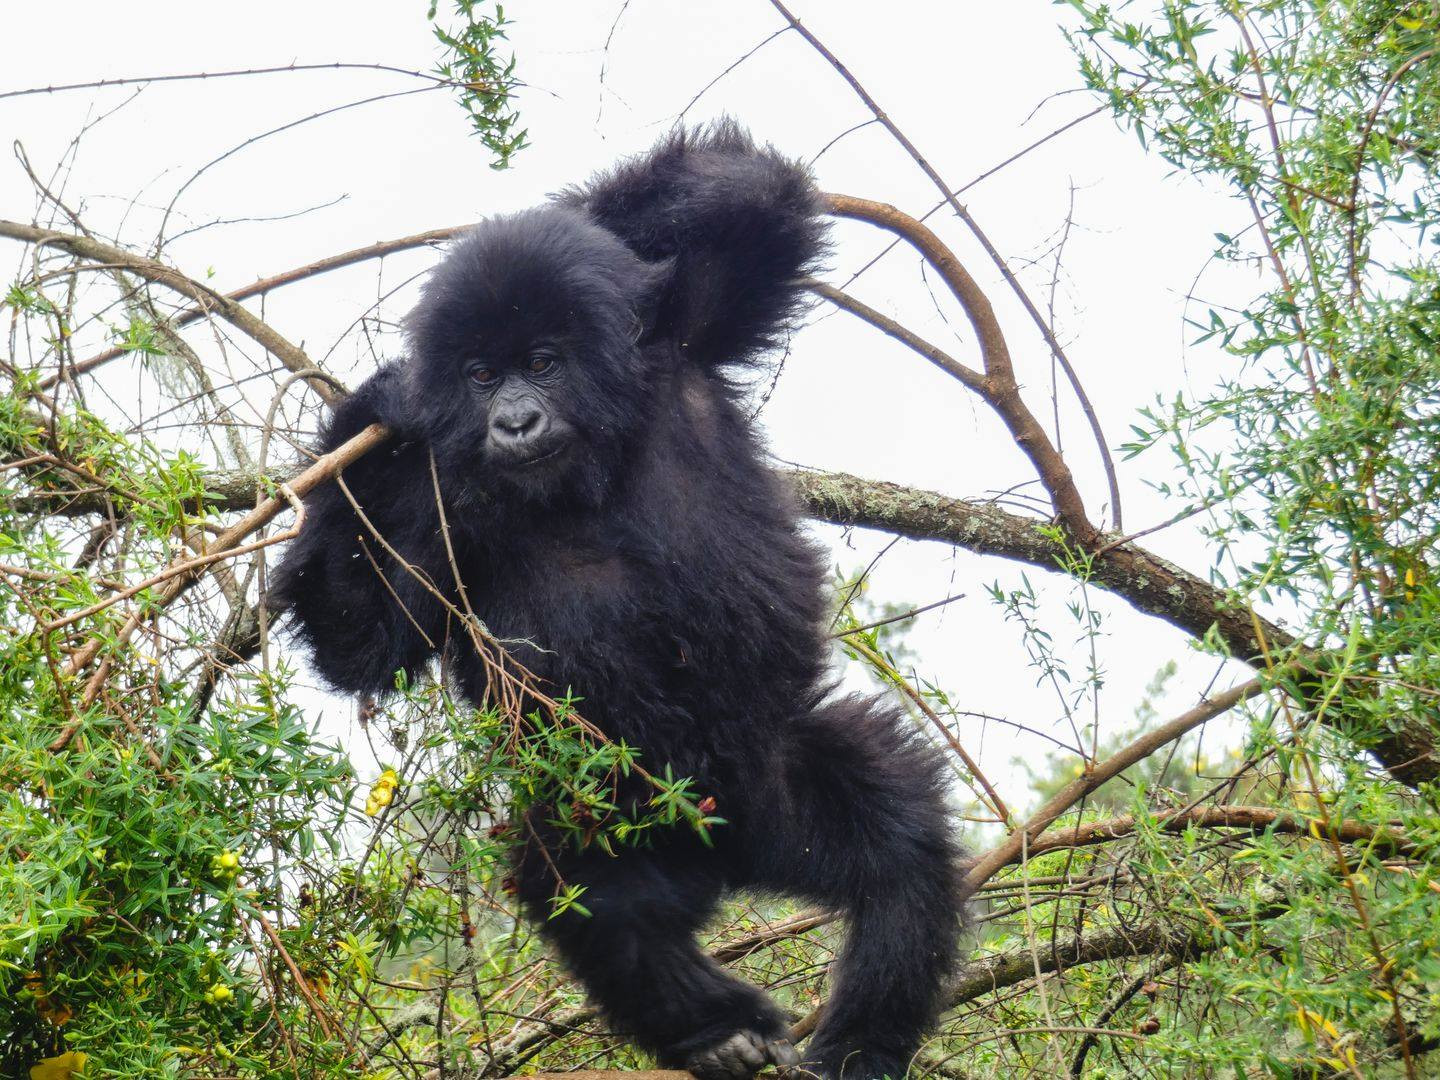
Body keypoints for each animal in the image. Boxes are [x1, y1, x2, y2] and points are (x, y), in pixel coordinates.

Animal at [273, 120, 961, 1080]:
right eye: (481, 376)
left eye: (541, 364)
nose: (515, 421)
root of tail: (729, 854)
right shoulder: (432, 492)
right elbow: (363, 637)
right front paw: (371, 411)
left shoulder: (686, 341)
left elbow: (747, 195)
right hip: (600, 803)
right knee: (588, 892)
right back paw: (715, 1027)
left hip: (774, 769)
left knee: (901, 843)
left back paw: (860, 1043)